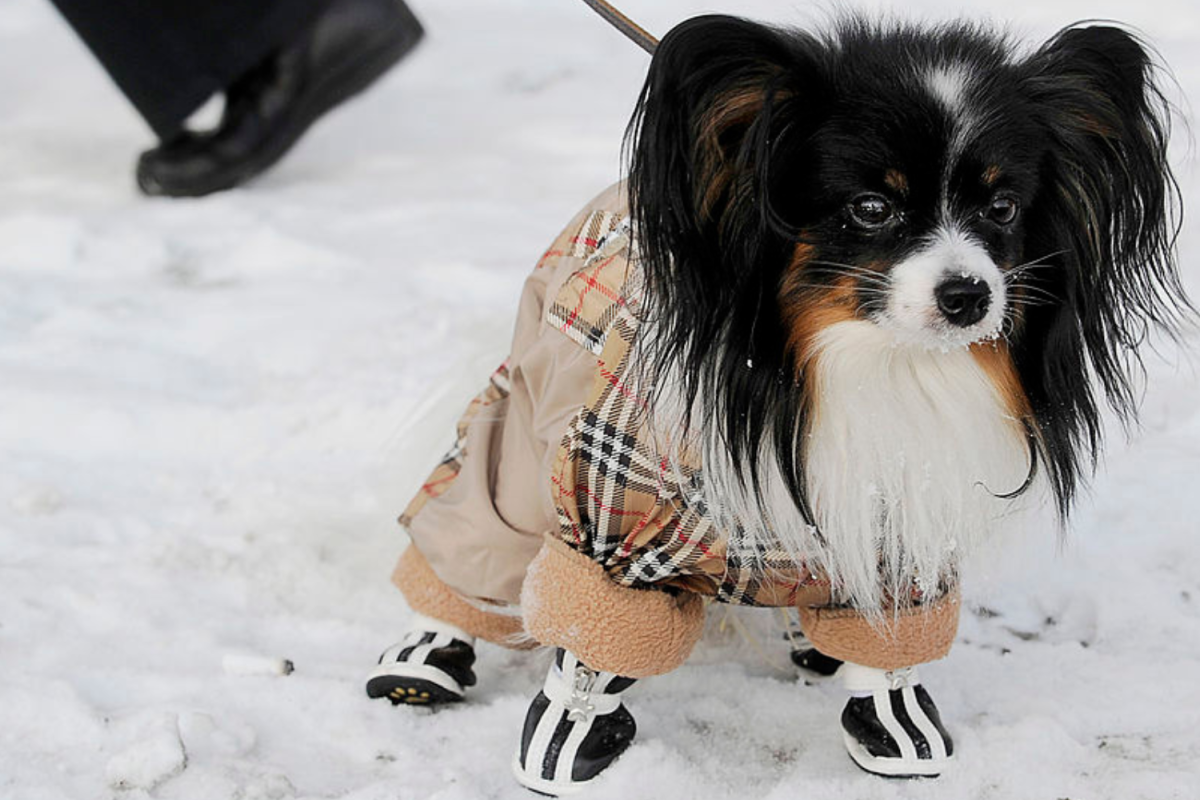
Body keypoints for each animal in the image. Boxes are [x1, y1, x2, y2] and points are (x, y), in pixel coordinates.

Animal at [364, 12, 1190, 796]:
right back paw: (424, 655)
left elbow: (887, 650)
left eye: (1005, 208)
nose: (969, 296)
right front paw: (571, 735)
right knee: (471, 530)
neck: (870, 365)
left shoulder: (896, 521)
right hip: (522, 431)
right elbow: (590, 651)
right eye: (871, 207)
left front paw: (892, 718)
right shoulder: (613, 527)